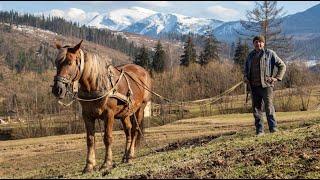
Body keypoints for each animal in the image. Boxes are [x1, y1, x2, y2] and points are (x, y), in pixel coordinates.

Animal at [52, 40, 152, 174]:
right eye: (57, 62)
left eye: (69, 62)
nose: (57, 89)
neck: (95, 85)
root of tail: (143, 71)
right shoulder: (87, 116)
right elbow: (90, 140)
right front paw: (89, 165)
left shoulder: (109, 114)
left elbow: (107, 138)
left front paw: (106, 164)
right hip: (124, 113)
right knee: (128, 131)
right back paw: (125, 157)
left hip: (140, 108)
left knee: (135, 130)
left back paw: (130, 156)